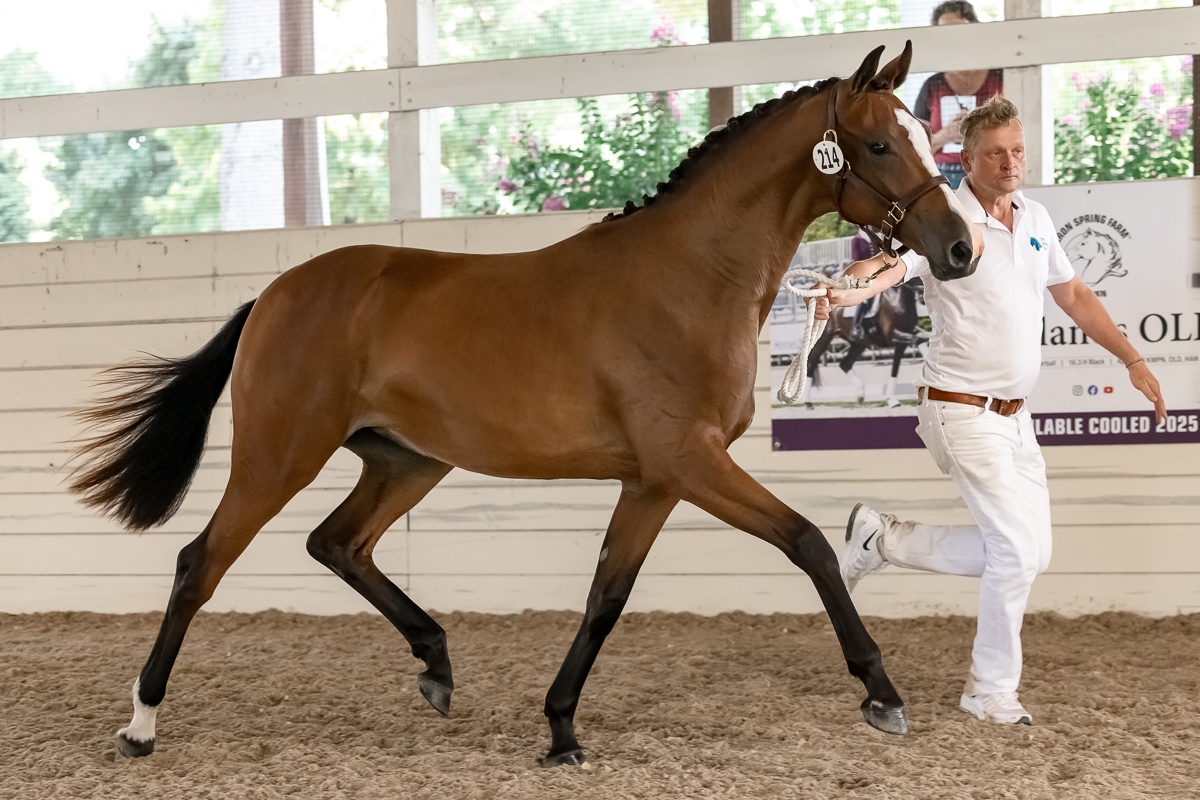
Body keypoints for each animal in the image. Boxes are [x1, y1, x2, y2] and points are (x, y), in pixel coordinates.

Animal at [69, 42, 981, 767]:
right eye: (878, 143)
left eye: (918, 135)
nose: (960, 249)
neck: (691, 277)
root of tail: (272, 295)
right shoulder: (689, 461)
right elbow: (809, 546)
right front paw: (882, 693)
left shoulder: (653, 480)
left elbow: (606, 597)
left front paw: (561, 729)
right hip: (279, 455)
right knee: (201, 563)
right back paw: (141, 724)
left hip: (407, 461)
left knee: (338, 543)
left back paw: (436, 665)